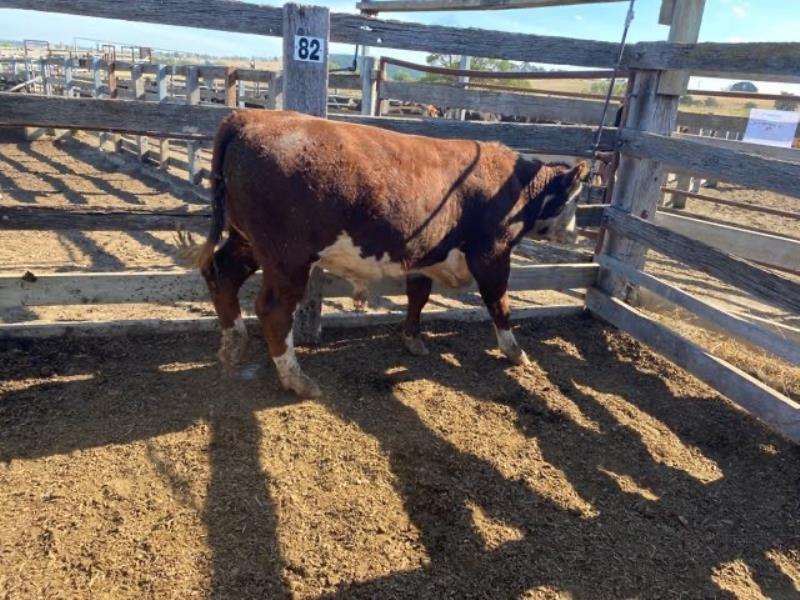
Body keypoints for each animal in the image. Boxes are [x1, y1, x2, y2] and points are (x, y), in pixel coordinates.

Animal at [178, 111, 584, 398]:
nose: (576, 230)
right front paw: (515, 351)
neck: (514, 185)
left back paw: (234, 343)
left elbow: (418, 295)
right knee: (273, 310)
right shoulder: (493, 254)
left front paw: (413, 339)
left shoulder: (423, 252)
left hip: (245, 239)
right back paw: (296, 379)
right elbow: (499, 303)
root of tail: (249, 116)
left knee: (222, 275)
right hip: (287, 256)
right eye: (575, 198)